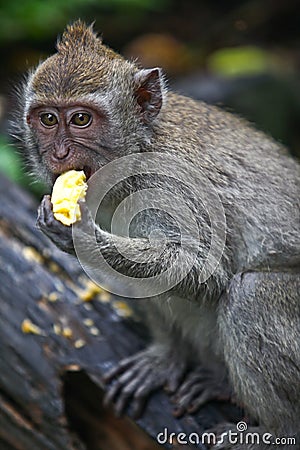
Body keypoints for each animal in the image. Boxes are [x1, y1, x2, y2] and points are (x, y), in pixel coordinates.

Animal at [16, 21, 300, 450]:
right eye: (48, 119)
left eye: (80, 119)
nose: (59, 153)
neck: (139, 145)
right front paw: (165, 358)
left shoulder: (170, 180)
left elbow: (206, 273)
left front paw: (83, 236)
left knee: (251, 294)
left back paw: (279, 431)